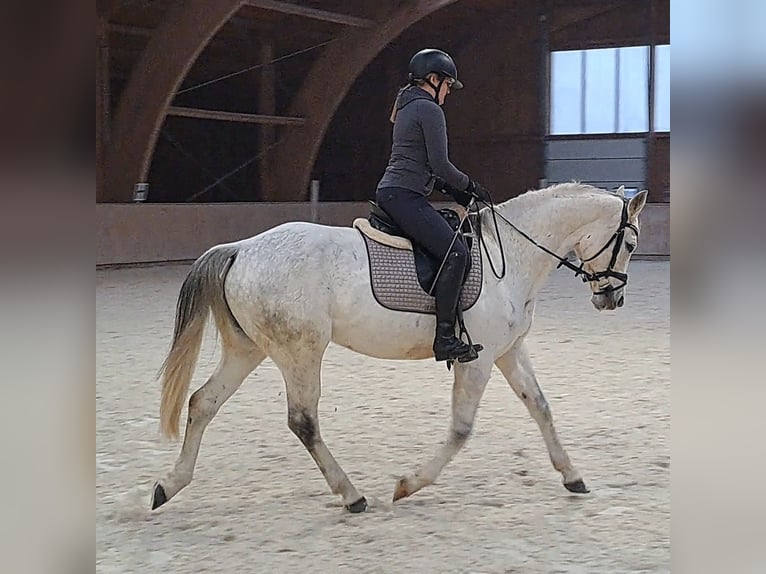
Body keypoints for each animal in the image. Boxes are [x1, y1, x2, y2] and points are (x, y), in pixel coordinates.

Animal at [150, 182, 648, 513]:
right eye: (630, 242)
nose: (613, 299)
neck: (510, 257)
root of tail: (241, 248)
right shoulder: (479, 359)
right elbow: (462, 429)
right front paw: (409, 484)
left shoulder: (508, 352)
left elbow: (541, 408)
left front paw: (573, 476)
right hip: (300, 351)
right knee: (303, 421)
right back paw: (352, 495)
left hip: (249, 349)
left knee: (202, 402)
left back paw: (169, 485)